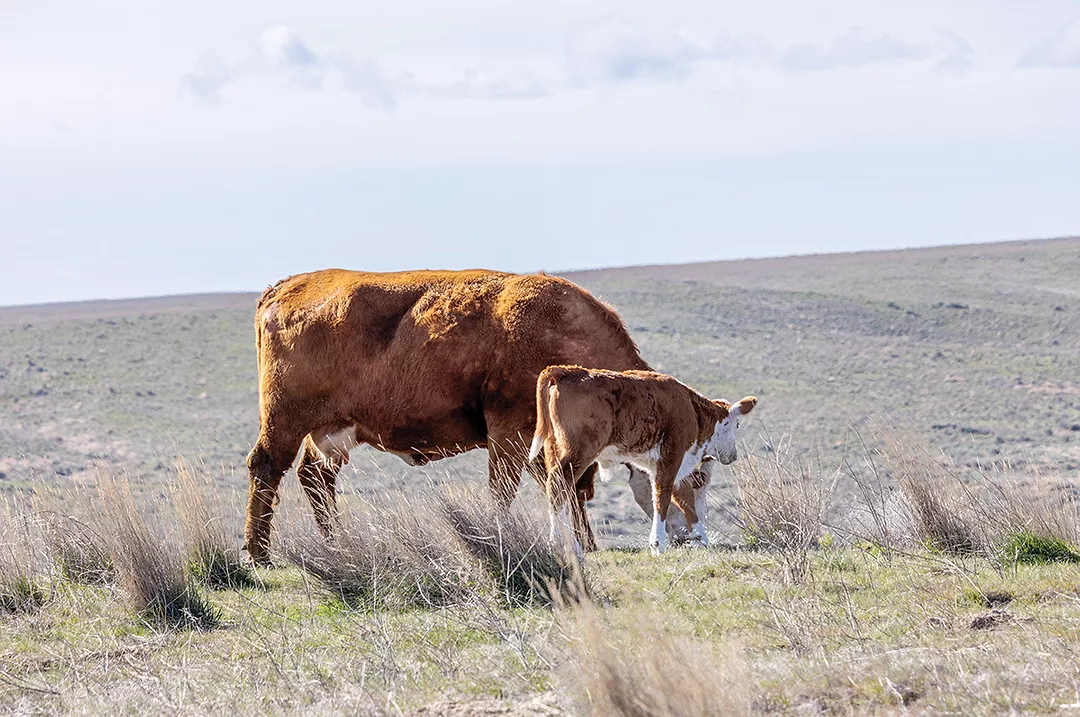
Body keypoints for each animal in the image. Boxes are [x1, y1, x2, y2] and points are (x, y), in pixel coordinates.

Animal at [243, 268, 665, 565]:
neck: (558, 329)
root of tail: (285, 286)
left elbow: (567, 488)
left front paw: (584, 544)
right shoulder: (509, 433)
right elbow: (510, 489)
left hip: (332, 433)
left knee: (315, 478)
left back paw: (337, 545)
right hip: (285, 422)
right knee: (266, 466)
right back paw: (258, 553)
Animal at [528, 365, 757, 555]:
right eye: (736, 425)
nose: (734, 455)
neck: (692, 410)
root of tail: (568, 371)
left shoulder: (665, 465)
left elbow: (685, 499)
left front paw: (700, 537)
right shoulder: (671, 457)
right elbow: (662, 497)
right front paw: (658, 543)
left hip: (554, 447)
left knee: (556, 487)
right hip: (580, 451)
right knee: (558, 485)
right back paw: (563, 544)